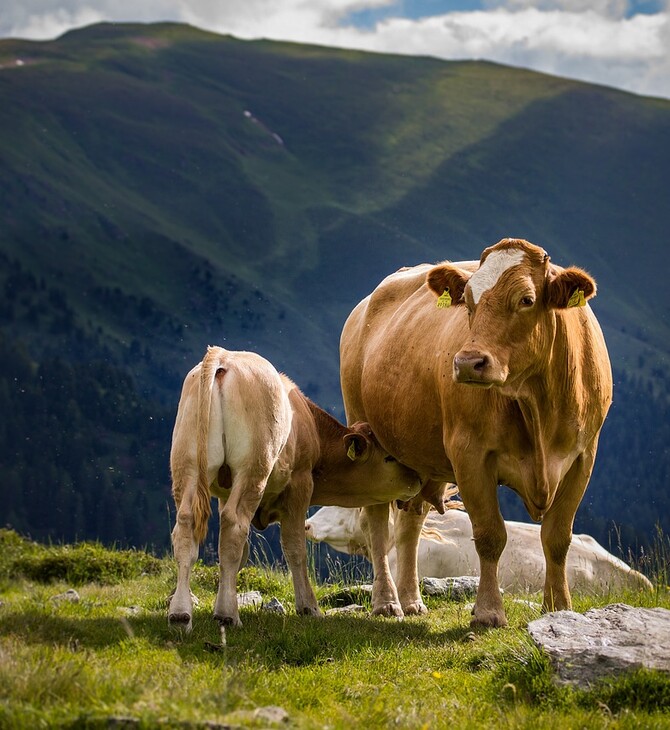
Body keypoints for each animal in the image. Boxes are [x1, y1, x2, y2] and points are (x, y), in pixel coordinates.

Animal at [168, 346, 422, 624]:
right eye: (389, 457)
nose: (418, 478)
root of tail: (224, 357)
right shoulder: (300, 485)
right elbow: (295, 547)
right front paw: (308, 606)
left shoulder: (225, 492)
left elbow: (238, 553)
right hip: (253, 468)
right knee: (234, 524)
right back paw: (227, 616)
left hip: (187, 465)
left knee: (186, 525)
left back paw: (180, 613)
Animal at [342, 239, 616, 624]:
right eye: (468, 302)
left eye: (526, 299)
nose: (468, 362)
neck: (538, 404)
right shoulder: (469, 454)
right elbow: (490, 535)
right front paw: (488, 611)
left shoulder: (583, 457)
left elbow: (558, 536)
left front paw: (559, 607)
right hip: (366, 433)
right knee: (378, 524)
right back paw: (387, 602)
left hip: (417, 458)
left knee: (411, 522)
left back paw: (411, 600)